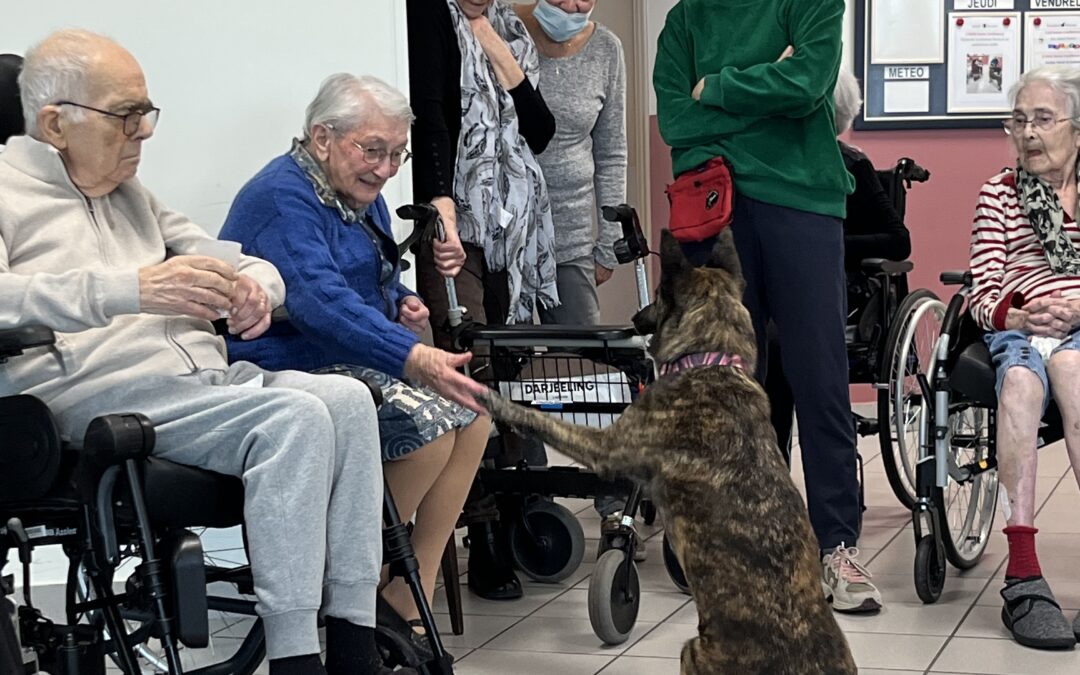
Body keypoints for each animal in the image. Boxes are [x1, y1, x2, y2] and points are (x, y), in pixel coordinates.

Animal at [477, 228, 855, 669]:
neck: (710, 361)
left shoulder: (607, 447)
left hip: (693, 651)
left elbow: (547, 421)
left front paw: (492, 399)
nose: (634, 318)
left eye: (659, 293)